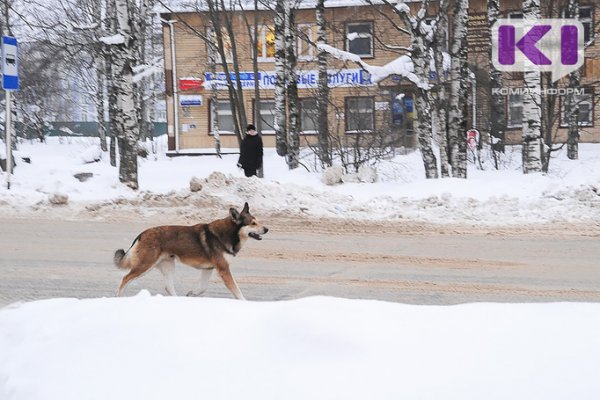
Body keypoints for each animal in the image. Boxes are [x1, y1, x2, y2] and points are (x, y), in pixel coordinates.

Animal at [113, 203, 268, 300]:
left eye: (258, 221)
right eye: (252, 223)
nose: (267, 229)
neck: (229, 234)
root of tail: (142, 234)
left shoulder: (209, 269)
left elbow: (202, 288)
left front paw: (191, 294)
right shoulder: (223, 269)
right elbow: (237, 291)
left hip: (168, 266)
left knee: (168, 287)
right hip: (145, 266)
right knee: (125, 278)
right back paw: (119, 298)